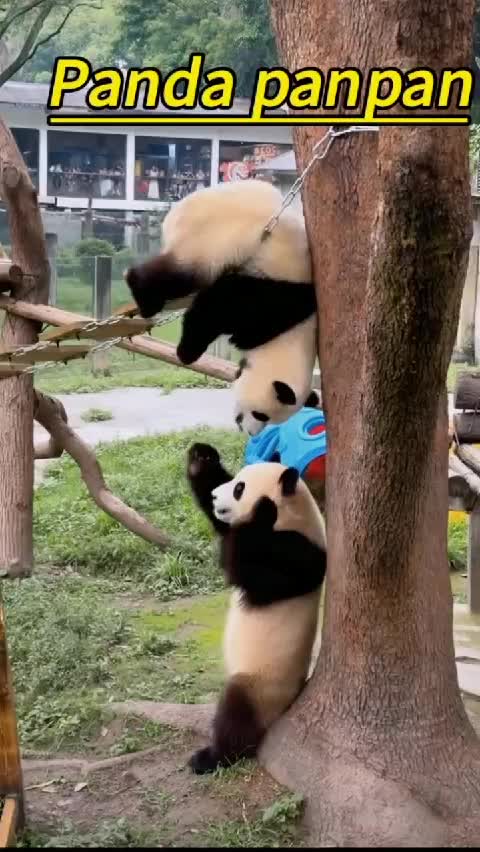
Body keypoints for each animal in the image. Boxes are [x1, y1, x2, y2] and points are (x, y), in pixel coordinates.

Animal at [125, 179, 317, 367]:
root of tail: (172, 216)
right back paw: (144, 296)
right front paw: (189, 351)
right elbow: (219, 307)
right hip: (210, 242)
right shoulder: (269, 284)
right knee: (179, 277)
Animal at [186, 441, 327, 775]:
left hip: (261, 685)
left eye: (239, 489)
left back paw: (211, 757)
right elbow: (224, 527)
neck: (294, 516)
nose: (216, 498)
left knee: (237, 715)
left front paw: (262, 509)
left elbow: (246, 567)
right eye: (236, 479)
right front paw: (201, 458)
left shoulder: (299, 554)